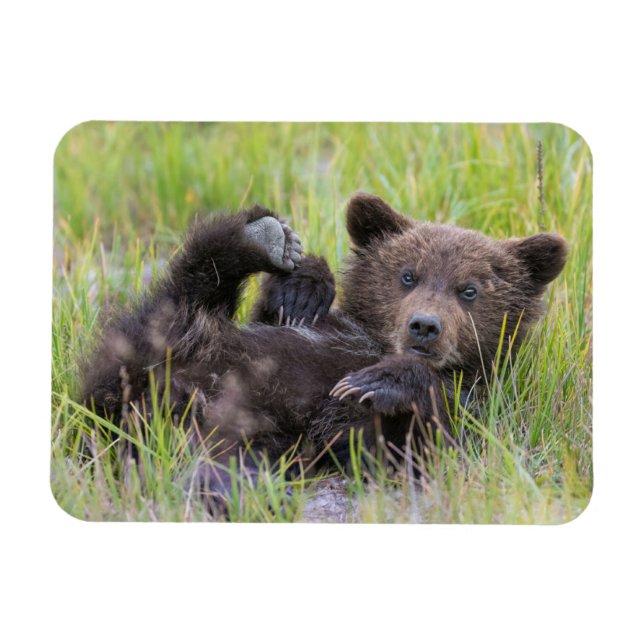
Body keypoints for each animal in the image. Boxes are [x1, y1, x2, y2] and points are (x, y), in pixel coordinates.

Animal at [81, 193, 567, 510]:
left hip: (246, 430)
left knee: (211, 456)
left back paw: (241, 489)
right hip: (164, 350)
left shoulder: (474, 403)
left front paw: (378, 381)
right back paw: (259, 237)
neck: (373, 341)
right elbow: (281, 314)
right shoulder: (312, 330)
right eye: (407, 275)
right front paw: (303, 288)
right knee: (180, 296)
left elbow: (422, 441)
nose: (424, 326)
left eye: (469, 290)